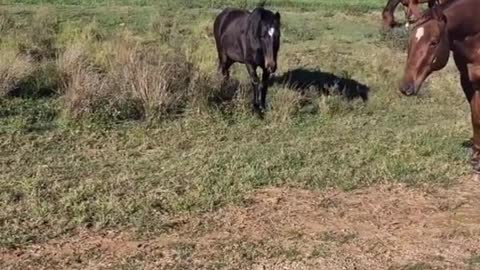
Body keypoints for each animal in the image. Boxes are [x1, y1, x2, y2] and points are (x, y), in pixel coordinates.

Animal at [400, 0, 480, 173]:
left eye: (434, 42)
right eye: (410, 41)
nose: (405, 87)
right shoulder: (467, 81)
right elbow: (475, 116)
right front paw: (476, 157)